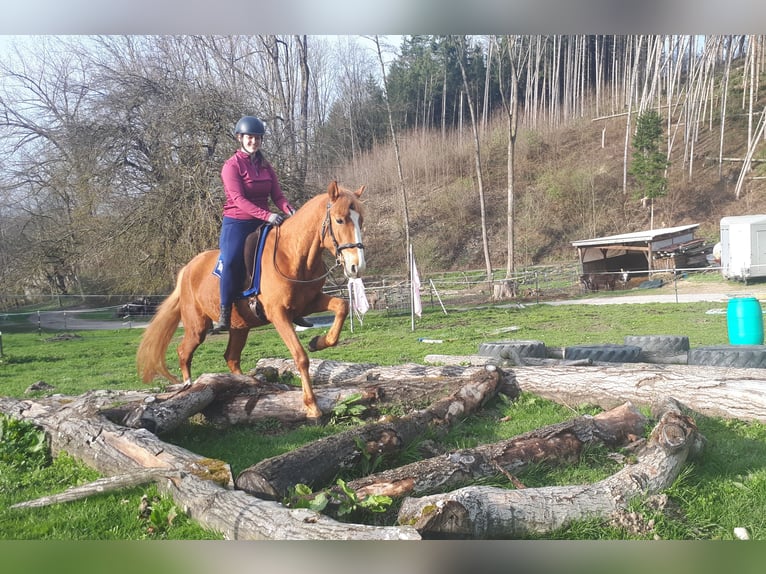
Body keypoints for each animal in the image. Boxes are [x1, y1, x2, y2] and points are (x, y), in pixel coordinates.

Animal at [136, 182, 368, 420]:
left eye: (360, 220)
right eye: (339, 220)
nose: (356, 267)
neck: (292, 255)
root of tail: (188, 268)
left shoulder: (309, 303)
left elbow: (342, 307)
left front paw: (318, 342)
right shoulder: (278, 314)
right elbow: (300, 357)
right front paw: (312, 407)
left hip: (240, 327)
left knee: (231, 357)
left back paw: (248, 383)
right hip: (197, 327)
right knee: (184, 352)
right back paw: (189, 387)